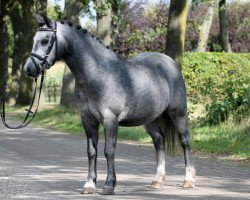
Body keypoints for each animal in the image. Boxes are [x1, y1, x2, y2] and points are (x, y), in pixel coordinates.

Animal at [23, 14, 195, 195]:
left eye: (45, 40)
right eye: (35, 39)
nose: (28, 69)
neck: (97, 74)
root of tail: (170, 63)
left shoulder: (110, 120)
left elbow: (109, 151)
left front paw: (109, 185)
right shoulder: (87, 120)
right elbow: (91, 152)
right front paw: (89, 184)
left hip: (178, 112)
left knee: (184, 140)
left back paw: (188, 180)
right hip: (150, 119)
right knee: (159, 141)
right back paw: (157, 180)